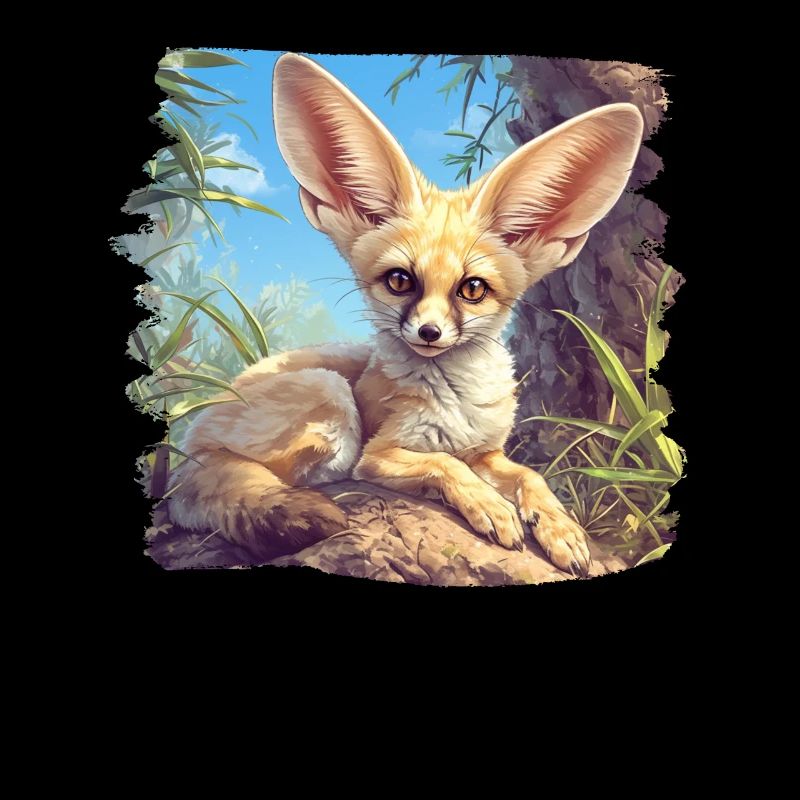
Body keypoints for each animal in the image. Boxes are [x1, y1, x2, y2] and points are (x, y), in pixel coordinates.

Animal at [166, 53, 644, 577]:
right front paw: (491, 508)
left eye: (472, 289)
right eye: (399, 281)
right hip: (331, 398)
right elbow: (444, 464)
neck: (456, 403)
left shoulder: (486, 451)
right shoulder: (379, 455)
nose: (429, 332)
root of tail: (189, 445)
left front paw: (560, 529)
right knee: (291, 479)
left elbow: (530, 477)